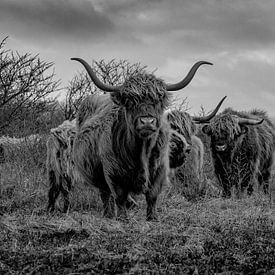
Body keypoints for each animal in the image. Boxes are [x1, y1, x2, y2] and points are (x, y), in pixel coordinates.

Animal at [71, 57, 213, 221]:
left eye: (158, 100)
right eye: (129, 101)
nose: (147, 122)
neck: (142, 151)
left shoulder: (160, 171)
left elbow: (152, 196)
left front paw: (152, 217)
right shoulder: (112, 172)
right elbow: (120, 196)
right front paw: (123, 218)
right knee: (106, 194)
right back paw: (109, 214)